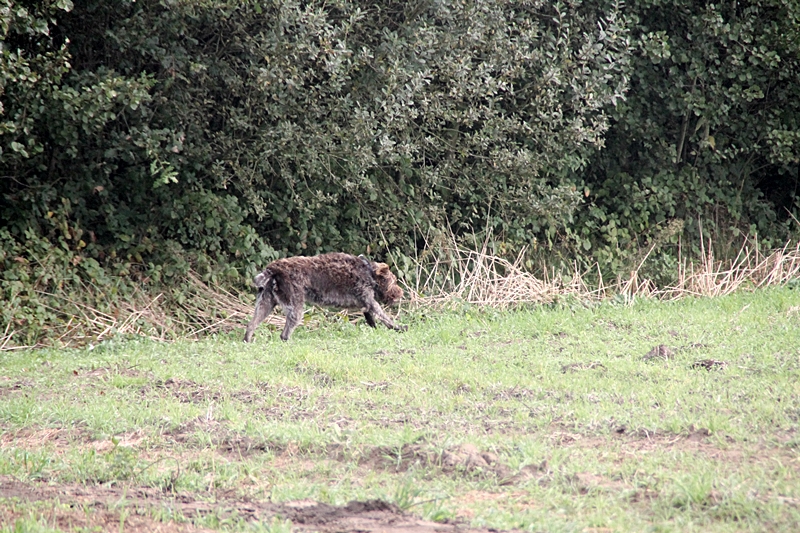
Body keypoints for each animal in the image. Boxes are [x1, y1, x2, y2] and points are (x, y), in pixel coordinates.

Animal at [242, 250, 406, 340]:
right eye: (394, 281)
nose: (401, 292)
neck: (368, 271)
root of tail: (273, 269)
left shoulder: (365, 304)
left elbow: (371, 319)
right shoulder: (371, 302)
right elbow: (384, 317)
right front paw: (398, 327)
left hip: (265, 304)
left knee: (251, 325)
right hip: (295, 306)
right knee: (285, 333)